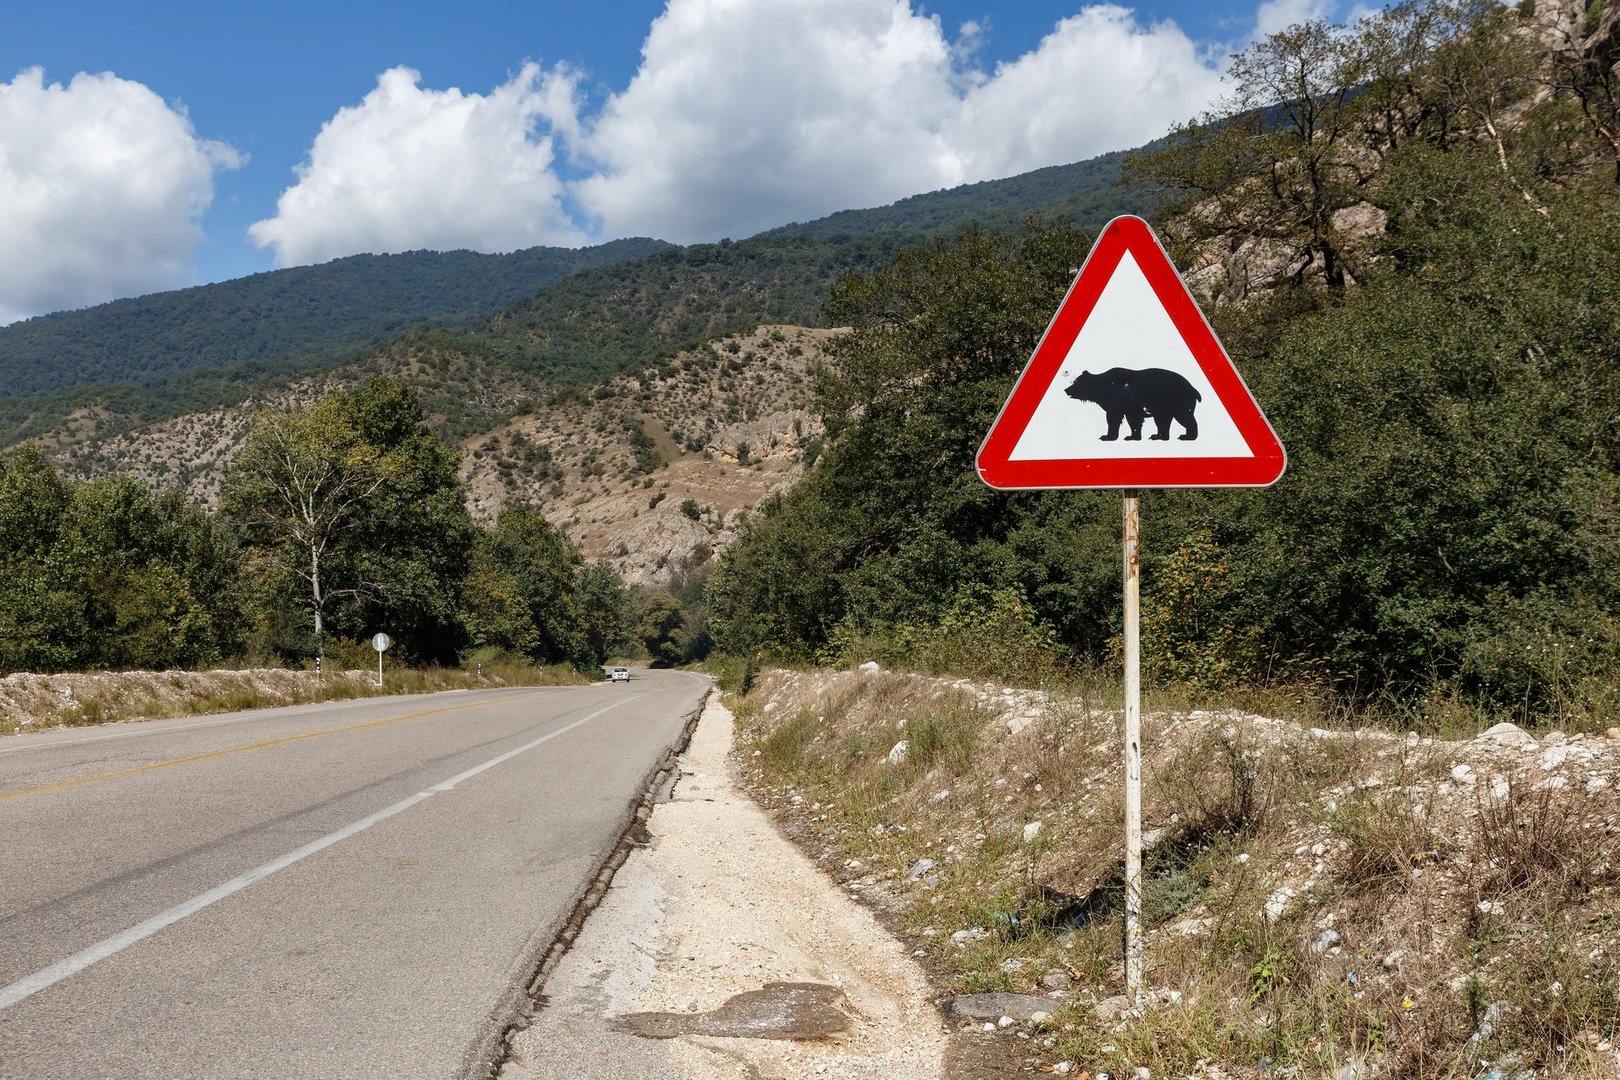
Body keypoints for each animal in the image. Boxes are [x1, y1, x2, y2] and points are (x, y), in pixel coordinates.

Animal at [1064, 367, 1201, 441]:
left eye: (1075, 382)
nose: (1066, 390)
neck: (1103, 390)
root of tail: (1193, 389)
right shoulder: (1117, 405)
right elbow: (1116, 419)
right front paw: (1109, 435)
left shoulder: (1127, 402)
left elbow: (1127, 418)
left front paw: (1124, 437)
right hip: (1164, 406)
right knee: (1162, 421)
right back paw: (1158, 436)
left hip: (1178, 400)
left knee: (1184, 416)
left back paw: (1187, 436)